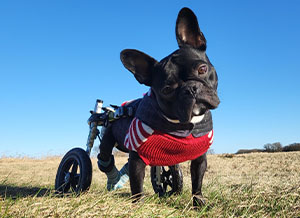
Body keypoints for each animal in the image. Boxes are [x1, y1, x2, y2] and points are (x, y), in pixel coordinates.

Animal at [97, 7, 219, 207]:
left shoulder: (200, 158)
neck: (182, 125)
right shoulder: (137, 159)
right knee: (105, 159)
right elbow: (137, 186)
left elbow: (197, 181)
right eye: (167, 89)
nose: (190, 89)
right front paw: (137, 206)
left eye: (202, 69)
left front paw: (198, 202)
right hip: (108, 143)